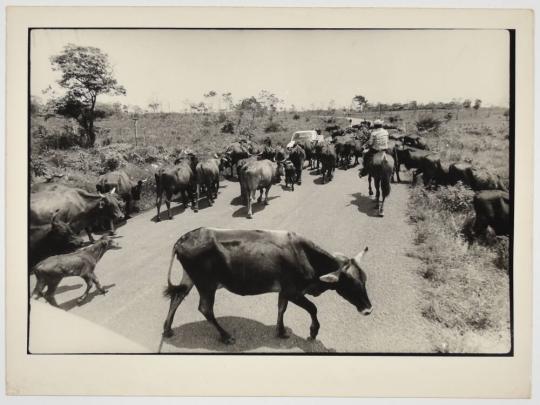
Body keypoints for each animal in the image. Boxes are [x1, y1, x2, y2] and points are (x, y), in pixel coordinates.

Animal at [160, 227, 372, 340]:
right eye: (351, 284)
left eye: (364, 280)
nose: (368, 309)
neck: (306, 256)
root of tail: (182, 239)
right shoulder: (293, 291)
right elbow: (313, 308)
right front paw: (313, 332)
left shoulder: (284, 291)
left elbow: (281, 308)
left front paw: (280, 331)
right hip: (206, 284)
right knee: (205, 309)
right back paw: (226, 336)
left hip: (190, 279)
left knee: (177, 297)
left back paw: (167, 329)